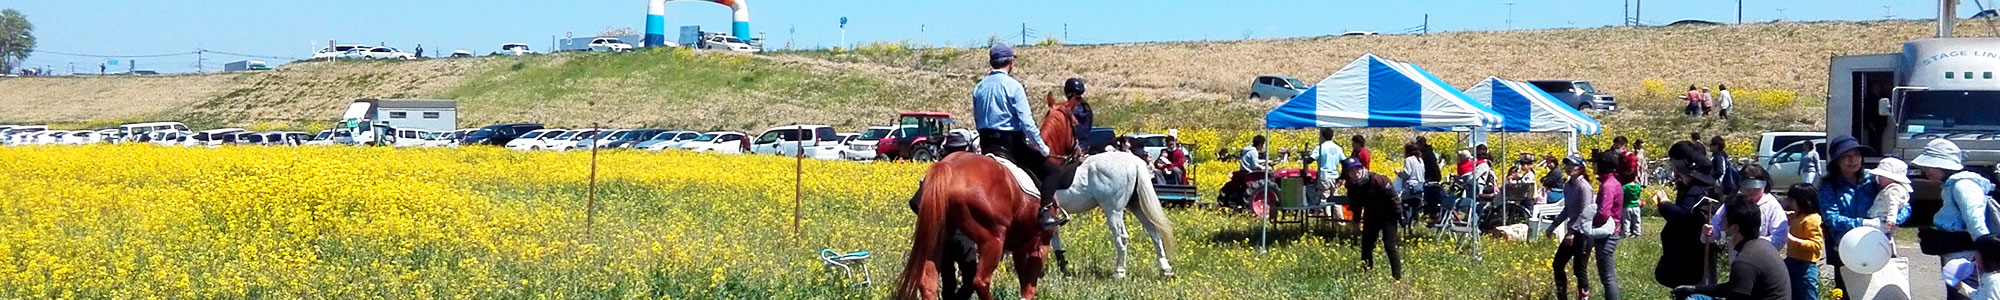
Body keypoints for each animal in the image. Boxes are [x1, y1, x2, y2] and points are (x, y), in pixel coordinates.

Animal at [892, 93, 1080, 300]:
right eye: (1076, 123)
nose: (1080, 152)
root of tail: (947, 168)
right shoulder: (1040, 243)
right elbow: (1029, 288)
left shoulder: (1020, 246)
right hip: (992, 241)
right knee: (980, 281)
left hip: (939, 239)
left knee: (929, 281)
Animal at [1048, 151, 1168, 280]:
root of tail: (1133, 161)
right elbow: (1055, 241)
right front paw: (1063, 270)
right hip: (1136, 207)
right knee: (1153, 232)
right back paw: (1165, 269)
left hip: (1113, 212)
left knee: (1122, 238)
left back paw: (1119, 272)